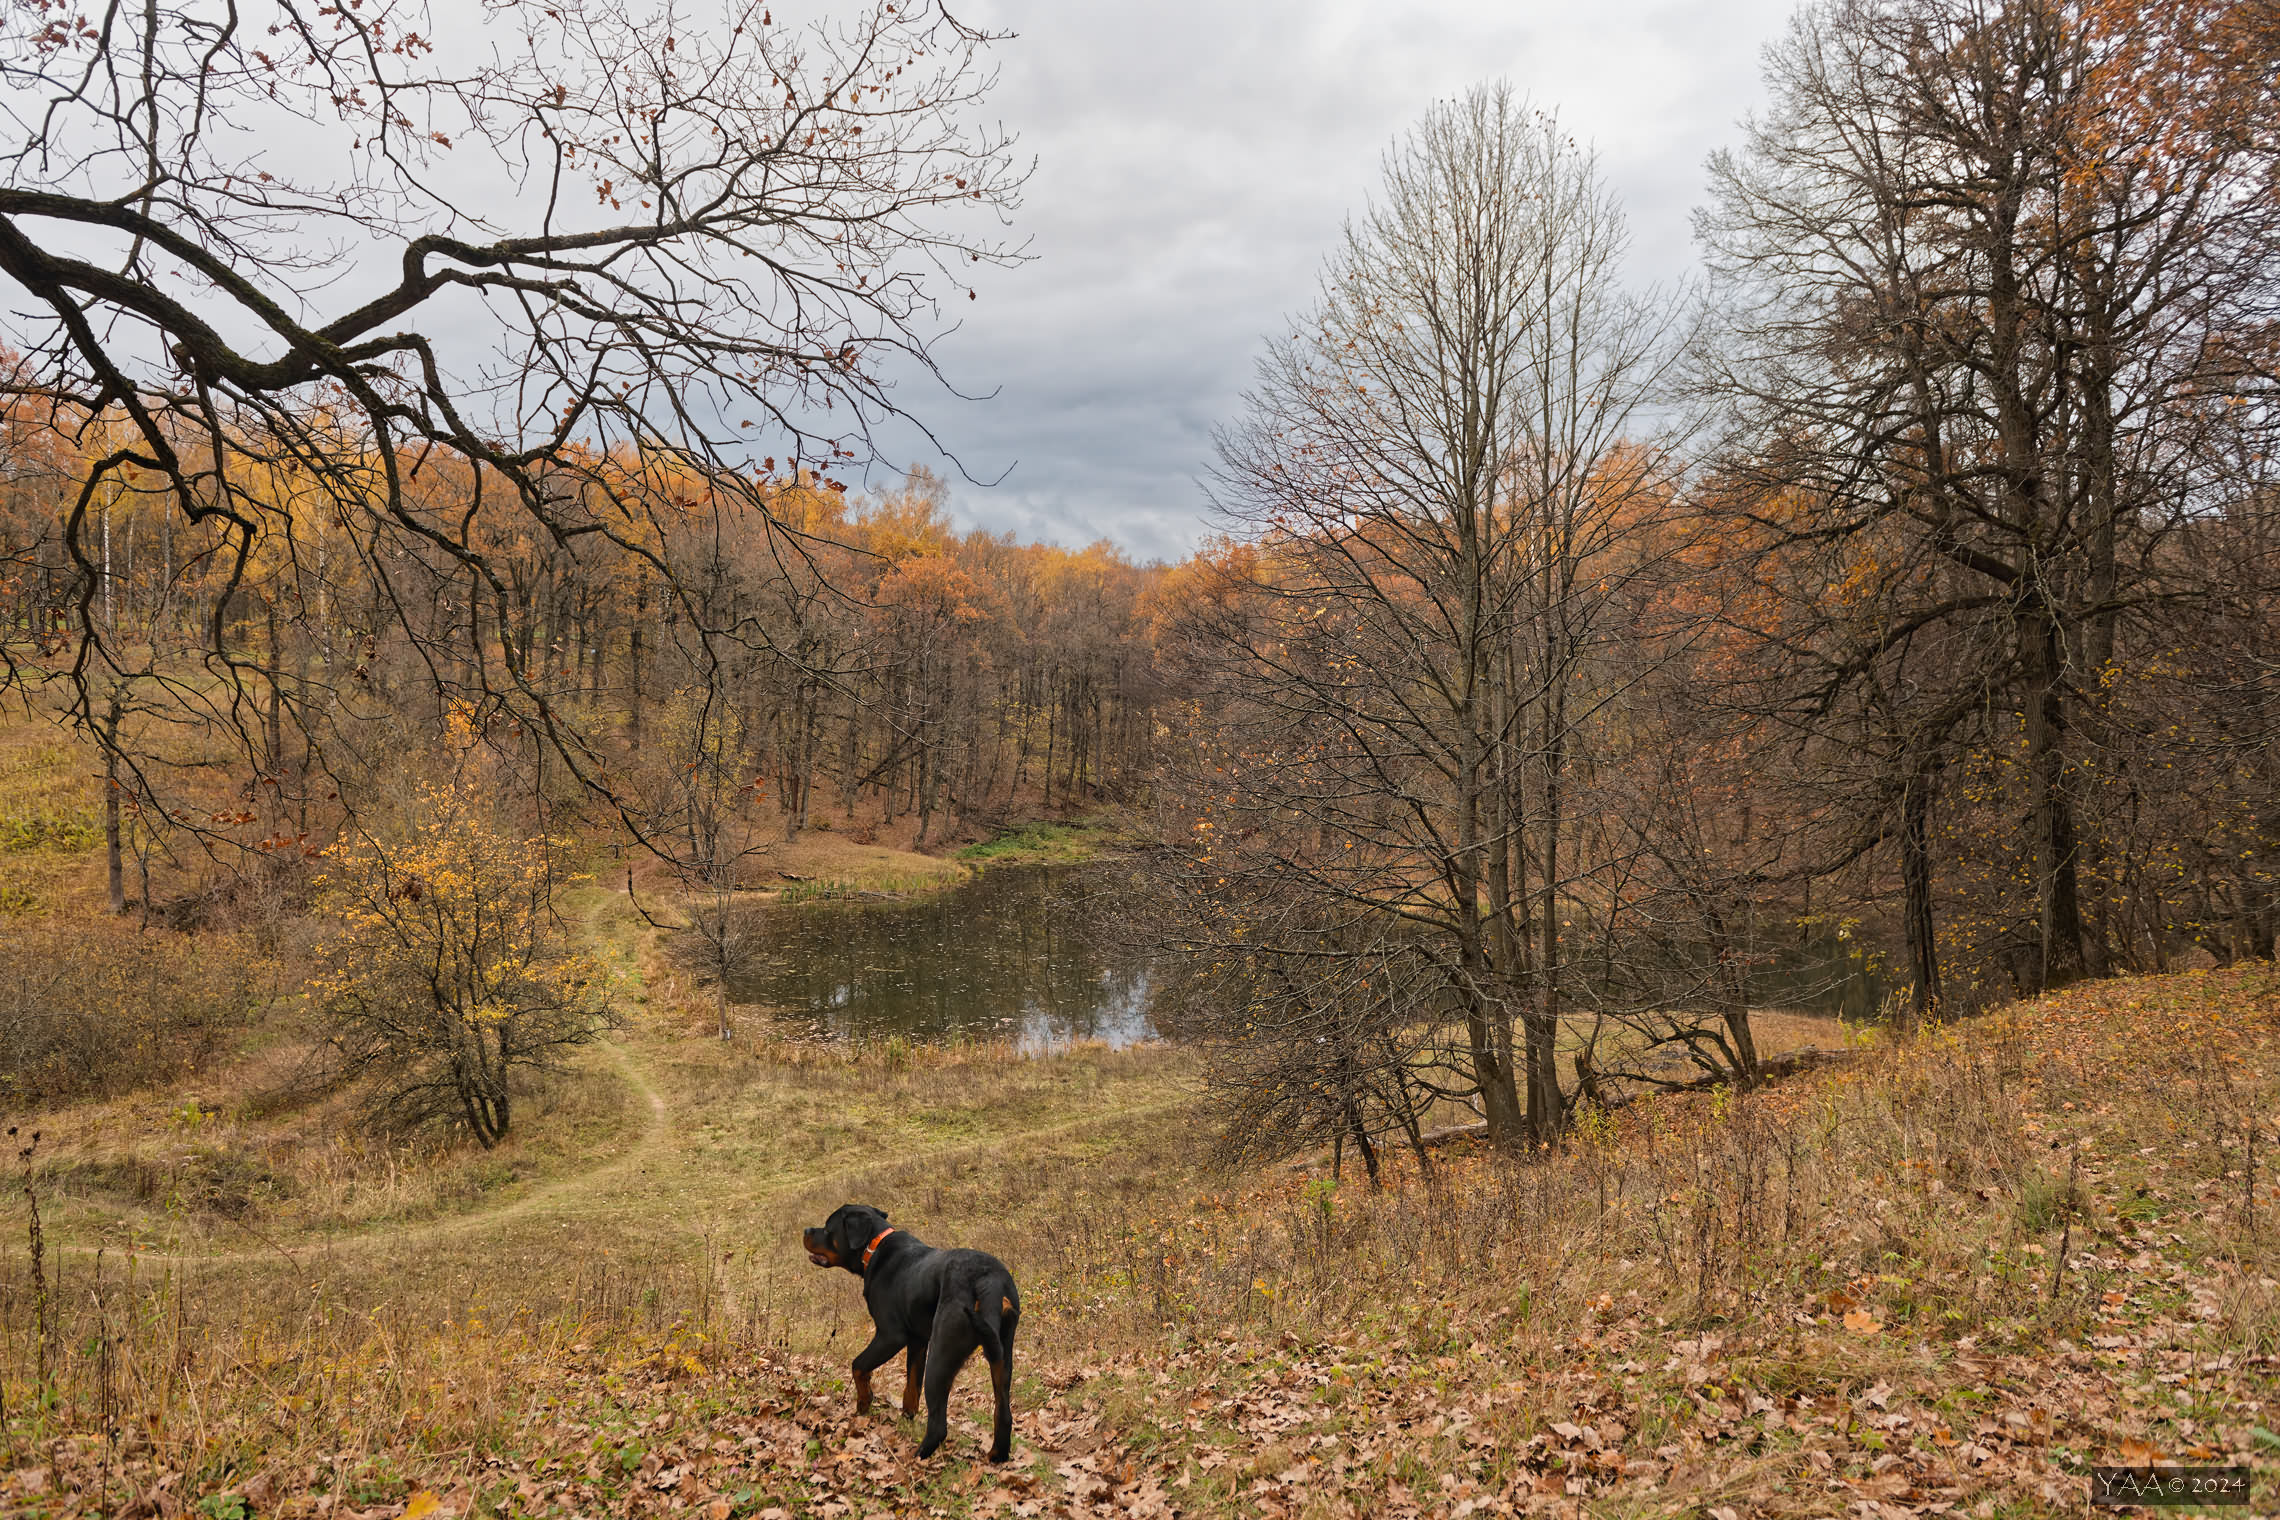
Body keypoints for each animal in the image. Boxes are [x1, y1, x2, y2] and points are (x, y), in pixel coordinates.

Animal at [798, 1203, 1021, 1458]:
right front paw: (907, 1416)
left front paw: (864, 1402)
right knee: (1003, 1414)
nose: (806, 1229)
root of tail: (988, 1280)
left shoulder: (890, 1335)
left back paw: (916, 1457)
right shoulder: (918, 1340)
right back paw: (996, 1455)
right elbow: (911, 1386)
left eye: (827, 1227)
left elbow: (858, 1366)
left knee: (938, 1426)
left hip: (941, 1353)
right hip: (1002, 1357)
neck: (873, 1248)